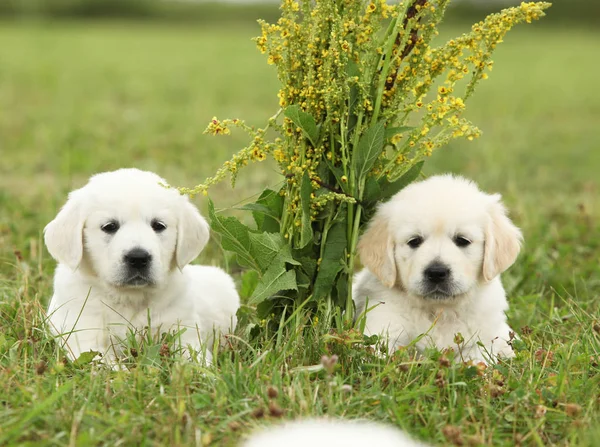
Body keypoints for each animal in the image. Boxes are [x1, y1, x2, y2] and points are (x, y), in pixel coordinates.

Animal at [44, 170, 239, 366]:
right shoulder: (85, 337)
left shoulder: (184, 330)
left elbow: (193, 360)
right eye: (109, 226)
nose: (138, 258)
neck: (130, 298)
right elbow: (105, 366)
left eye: (158, 226)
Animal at [354, 175, 524, 364]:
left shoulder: (483, 338)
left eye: (462, 240)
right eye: (414, 241)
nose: (436, 273)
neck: (439, 311)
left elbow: (474, 360)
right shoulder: (383, 326)